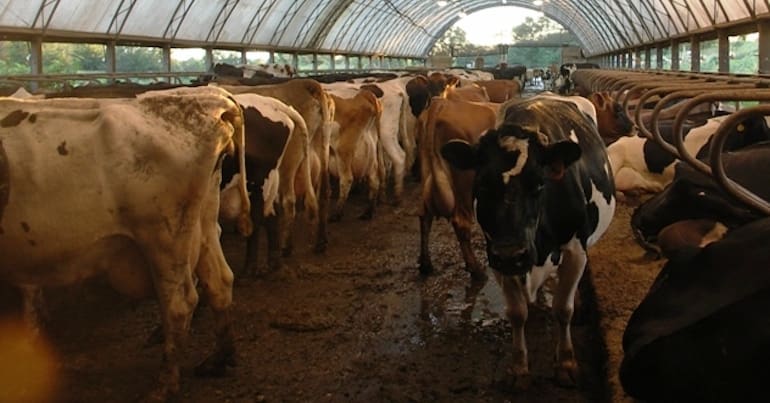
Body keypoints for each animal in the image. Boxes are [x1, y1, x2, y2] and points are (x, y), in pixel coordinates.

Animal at [0, 86, 251, 401]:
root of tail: (208, 99)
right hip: (202, 224)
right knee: (219, 281)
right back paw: (219, 359)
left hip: (164, 237)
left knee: (179, 304)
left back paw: (164, 385)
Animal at [440, 96, 615, 387]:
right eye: (482, 185)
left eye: (539, 184)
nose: (513, 253)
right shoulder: (497, 256)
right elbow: (516, 313)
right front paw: (519, 368)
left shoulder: (575, 250)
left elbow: (563, 309)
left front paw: (566, 363)